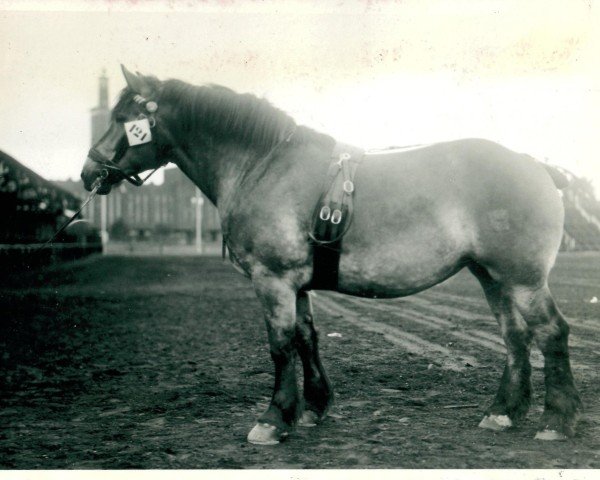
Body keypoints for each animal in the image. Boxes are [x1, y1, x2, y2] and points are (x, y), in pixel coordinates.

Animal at [81, 64, 580, 446]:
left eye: (124, 116)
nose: (89, 172)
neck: (262, 165)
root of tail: (536, 166)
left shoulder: (273, 279)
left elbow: (280, 345)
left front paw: (272, 419)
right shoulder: (297, 285)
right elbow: (307, 338)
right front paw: (312, 408)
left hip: (522, 279)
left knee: (551, 332)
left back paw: (557, 420)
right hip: (491, 276)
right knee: (515, 338)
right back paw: (503, 412)